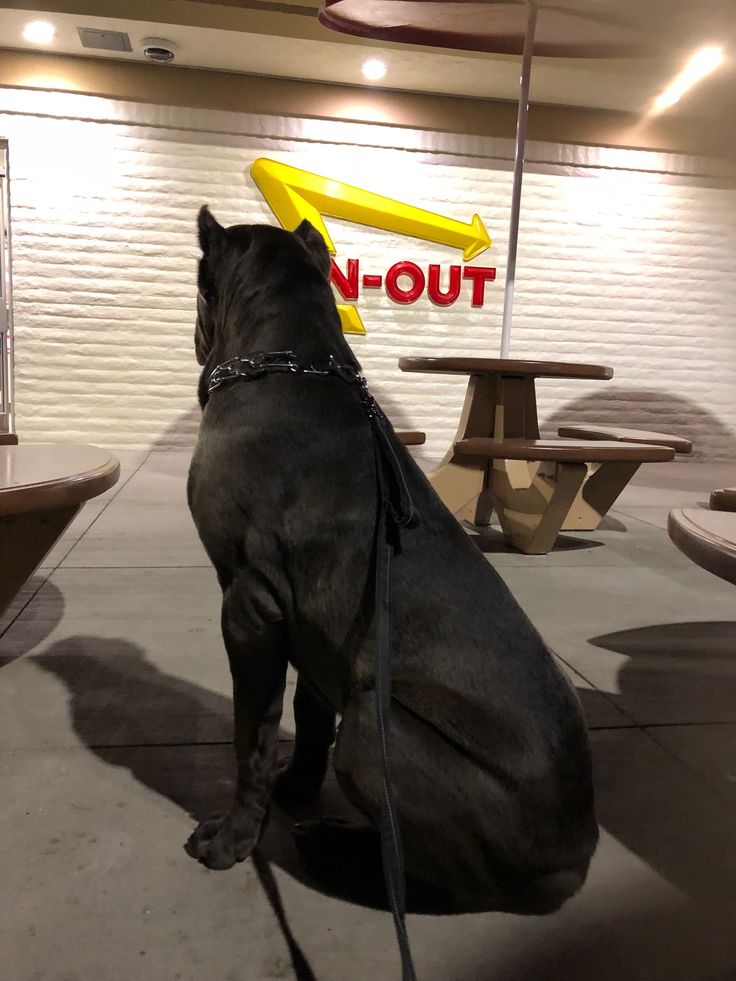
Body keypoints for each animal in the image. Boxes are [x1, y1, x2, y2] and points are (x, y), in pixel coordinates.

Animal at [185, 209, 600, 920]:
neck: (289, 359)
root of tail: (576, 866)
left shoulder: (248, 605)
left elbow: (252, 737)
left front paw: (235, 837)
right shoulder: (312, 628)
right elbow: (309, 713)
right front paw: (294, 789)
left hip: (373, 736)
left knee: (451, 886)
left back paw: (339, 853)